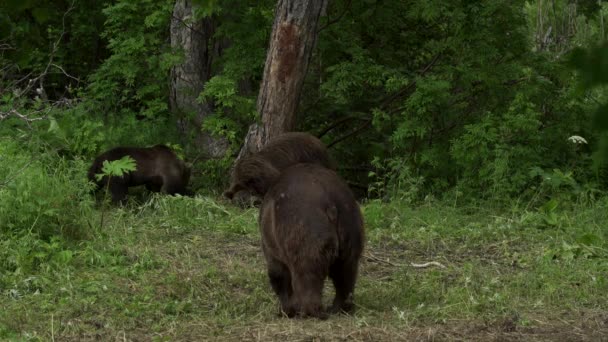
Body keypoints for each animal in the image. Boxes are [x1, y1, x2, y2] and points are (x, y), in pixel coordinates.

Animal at [258, 162, 364, 318]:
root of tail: (330, 202)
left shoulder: (271, 243)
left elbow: (278, 273)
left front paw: (286, 309)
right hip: (349, 221)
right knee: (346, 268)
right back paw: (339, 307)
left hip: (303, 223)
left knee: (307, 270)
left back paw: (310, 310)